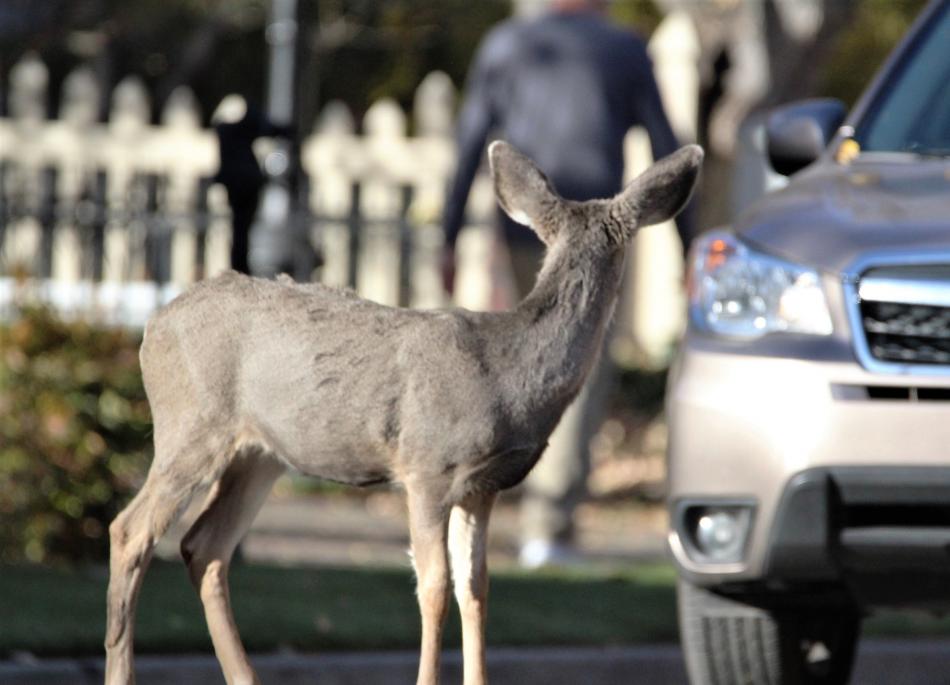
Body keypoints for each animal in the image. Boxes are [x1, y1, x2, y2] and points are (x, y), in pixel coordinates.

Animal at [104, 140, 702, 685]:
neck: (509, 375)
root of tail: (153, 324)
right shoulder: (427, 465)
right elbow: (434, 584)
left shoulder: (484, 485)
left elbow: (476, 585)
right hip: (191, 421)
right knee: (130, 530)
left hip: (260, 453)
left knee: (204, 547)